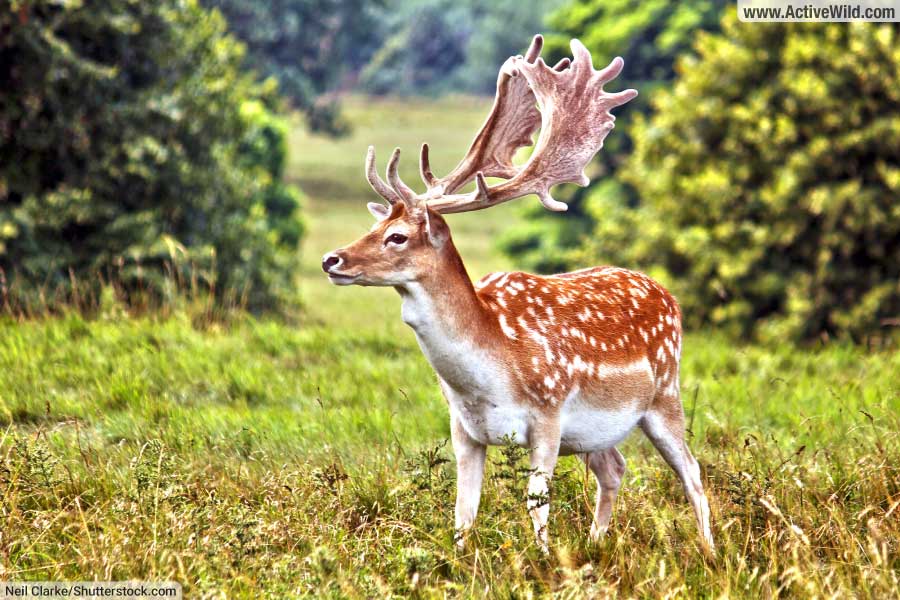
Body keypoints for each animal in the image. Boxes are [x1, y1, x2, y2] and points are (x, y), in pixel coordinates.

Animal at [322, 35, 714, 554]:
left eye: (398, 237)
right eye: (373, 226)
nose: (332, 260)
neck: (489, 373)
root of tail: (668, 295)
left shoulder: (548, 414)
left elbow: (536, 506)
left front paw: (547, 560)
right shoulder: (464, 429)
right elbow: (463, 513)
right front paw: (460, 561)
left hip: (665, 393)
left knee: (692, 472)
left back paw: (711, 552)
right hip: (597, 433)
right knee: (615, 469)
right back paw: (596, 544)